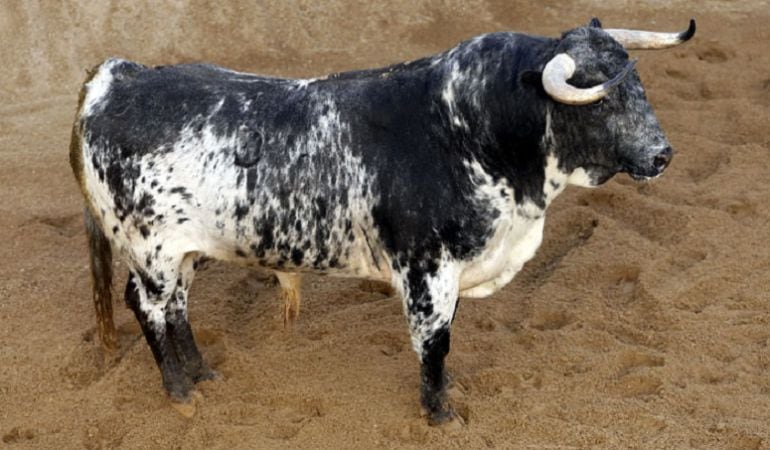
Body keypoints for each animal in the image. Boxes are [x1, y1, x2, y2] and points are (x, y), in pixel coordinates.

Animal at [70, 18, 696, 426]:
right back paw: (181, 392)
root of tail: (119, 76)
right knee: (147, 308)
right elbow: (434, 343)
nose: (663, 154)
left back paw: (203, 374)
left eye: (639, 85)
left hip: (185, 253)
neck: (470, 129)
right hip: (150, 252)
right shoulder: (426, 270)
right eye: (600, 98)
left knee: (177, 307)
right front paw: (440, 414)